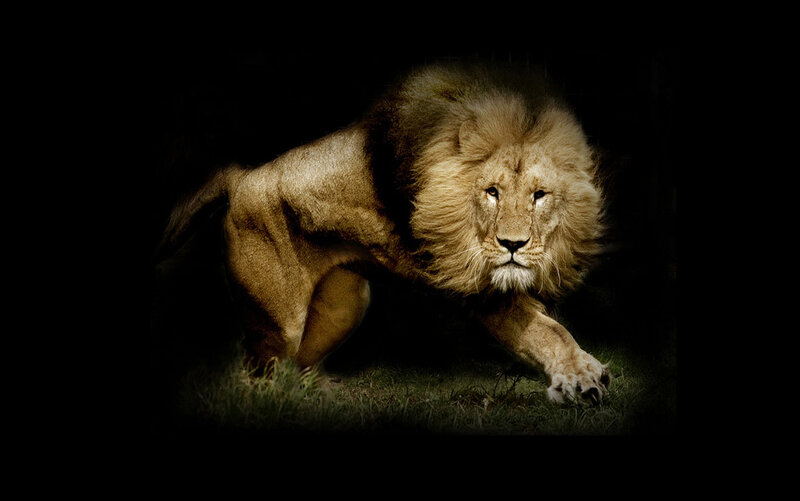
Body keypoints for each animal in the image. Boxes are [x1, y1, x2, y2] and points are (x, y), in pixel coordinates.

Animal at [159, 64, 612, 404]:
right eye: (492, 192)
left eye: (540, 195)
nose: (513, 245)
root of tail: (241, 178)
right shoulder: (480, 288)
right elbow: (547, 331)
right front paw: (582, 377)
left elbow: (550, 325)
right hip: (278, 324)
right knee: (257, 379)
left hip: (345, 304)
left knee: (296, 368)